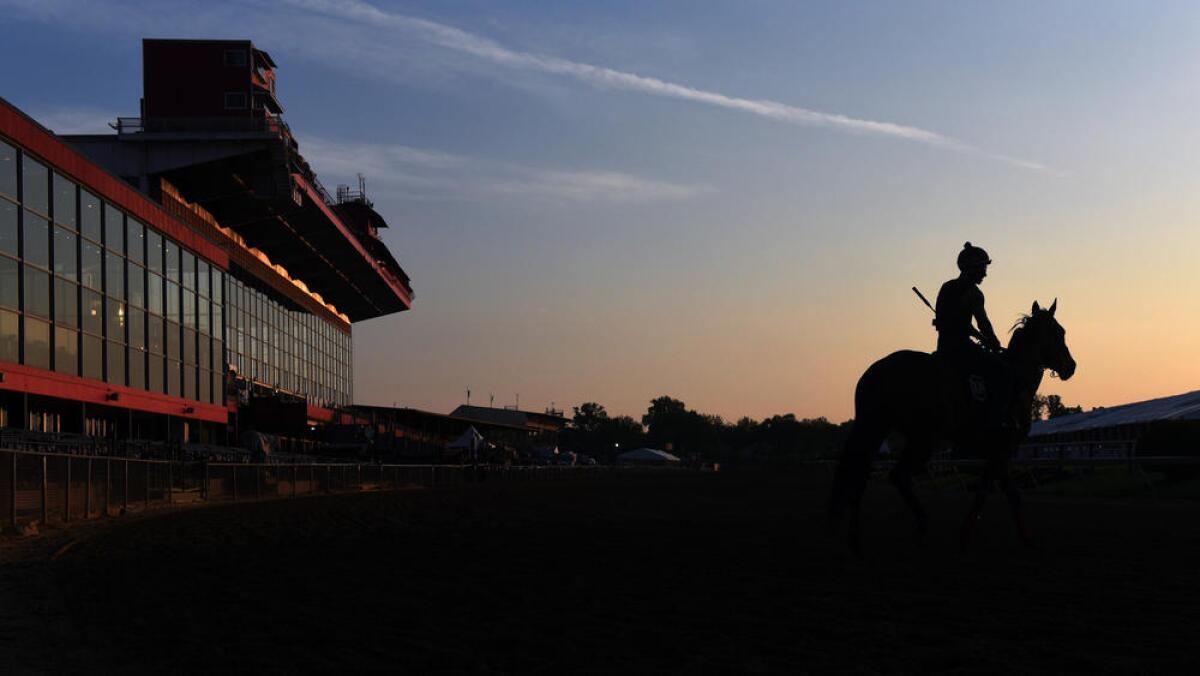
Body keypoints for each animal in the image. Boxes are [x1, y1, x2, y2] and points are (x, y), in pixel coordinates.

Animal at [830, 301, 1075, 554]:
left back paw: (857, 540)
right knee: (893, 475)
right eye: (1060, 332)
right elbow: (994, 494)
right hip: (921, 438)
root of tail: (875, 372)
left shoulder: (997, 452)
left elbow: (1003, 491)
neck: (1018, 380)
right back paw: (919, 526)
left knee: (863, 477)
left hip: (880, 428)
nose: (1071, 366)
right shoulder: (1001, 448)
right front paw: (971, 536)